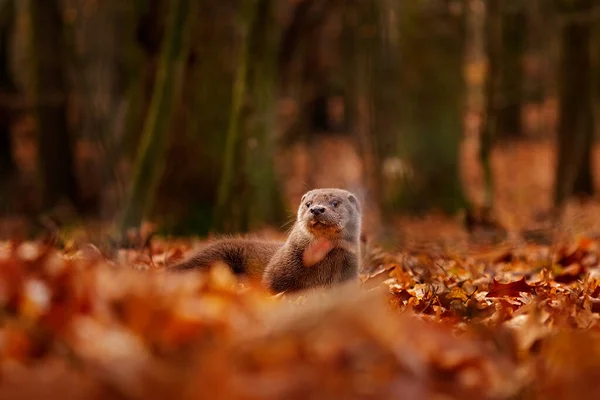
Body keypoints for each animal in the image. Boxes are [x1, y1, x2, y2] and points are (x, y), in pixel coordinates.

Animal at [171, 188, 364, 294]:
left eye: (335, 203)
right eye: (308, 203)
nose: (317, 209)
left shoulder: (349, 271)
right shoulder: (277, 269)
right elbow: (270, 284)